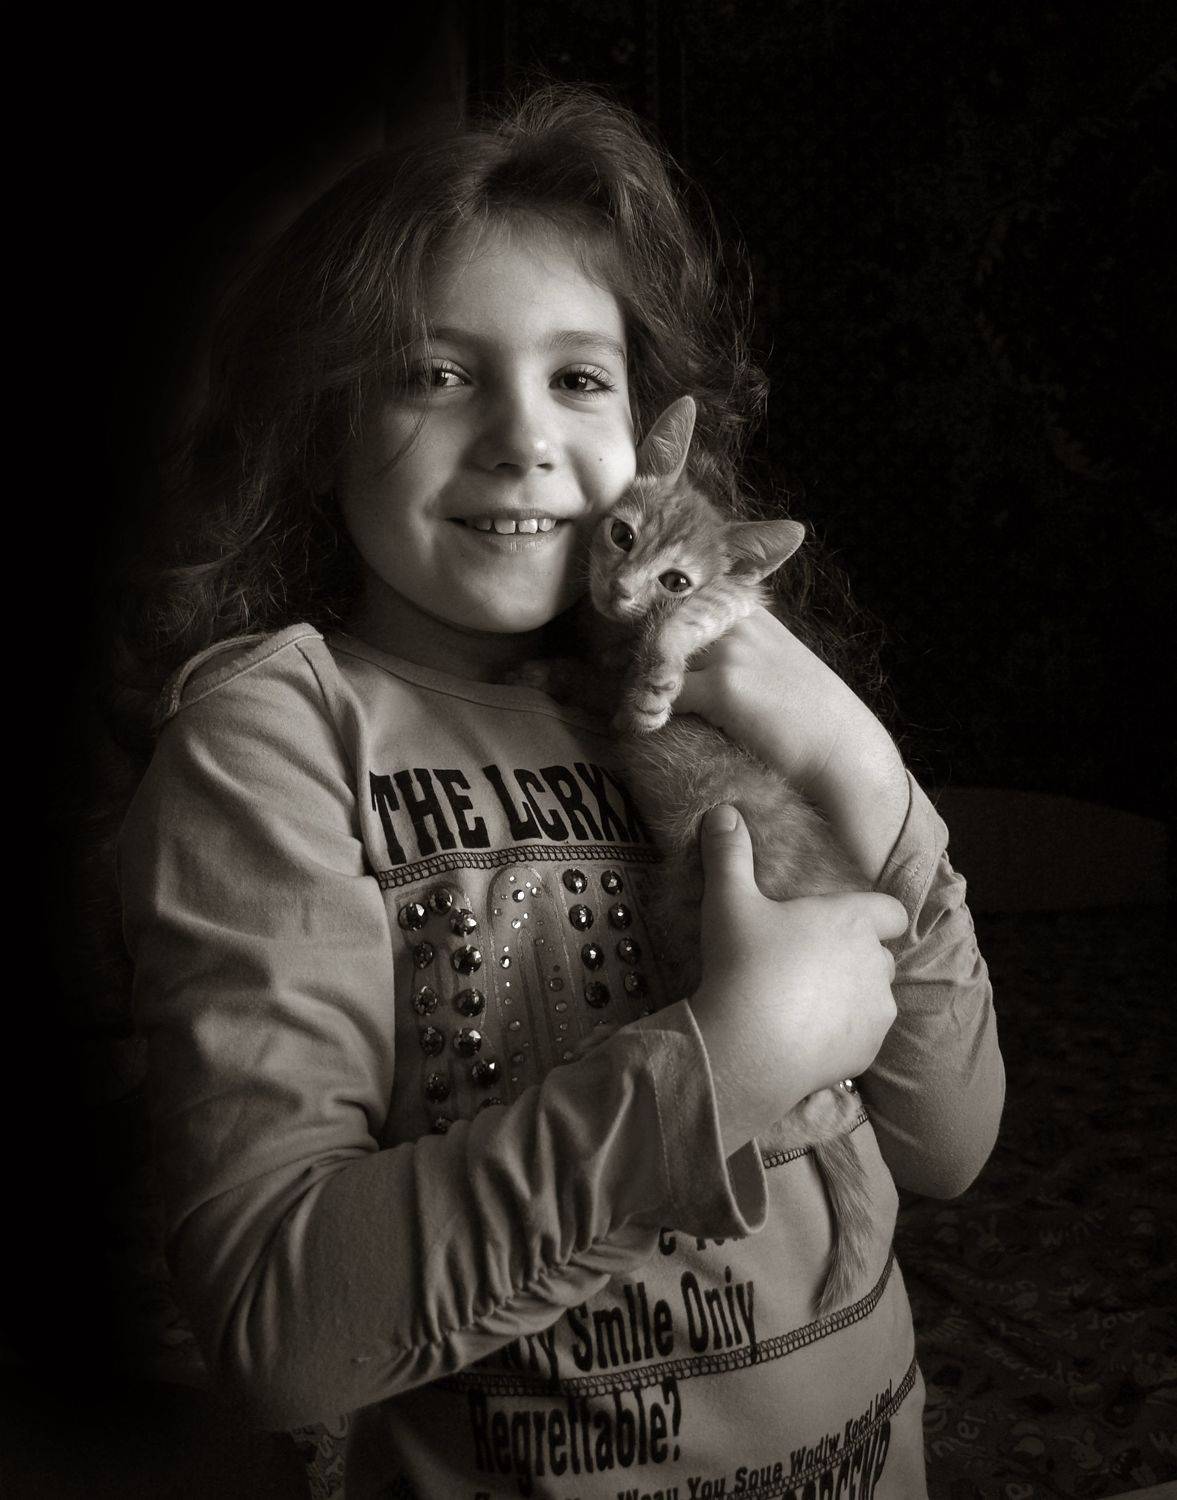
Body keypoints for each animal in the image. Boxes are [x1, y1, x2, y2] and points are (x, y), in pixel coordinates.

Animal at [522, 395, 876, 1316]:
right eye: (620, 535)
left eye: (676, 578)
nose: (620, 587)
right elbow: (595, 681)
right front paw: (555, 673)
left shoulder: (742, 608)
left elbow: (701, 618)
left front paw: (653, 679)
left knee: (798, 1103)